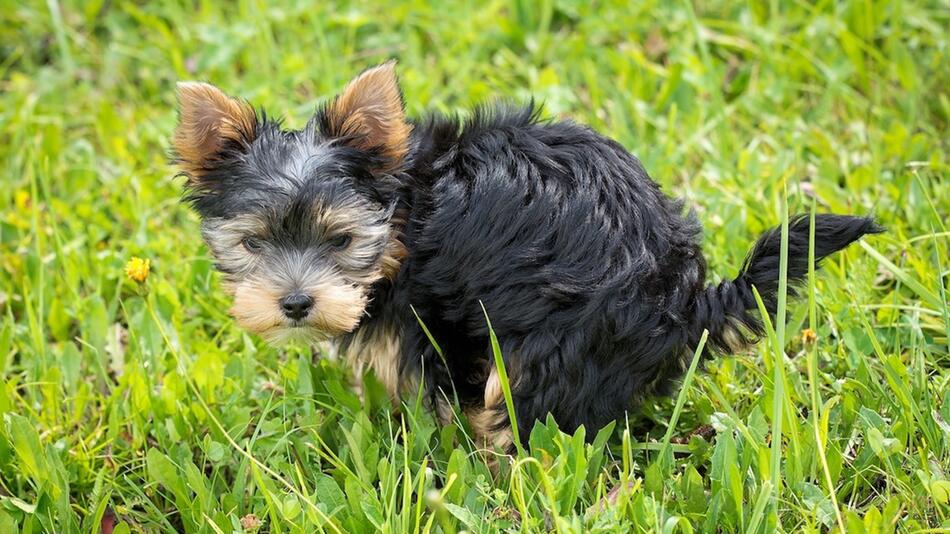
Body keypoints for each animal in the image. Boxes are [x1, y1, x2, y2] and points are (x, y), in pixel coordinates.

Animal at [173, 62, 884, 454]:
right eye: (254, 243)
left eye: (341, 241)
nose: (296, 304)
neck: (404, 214)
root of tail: (684, 299)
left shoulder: (434, 321)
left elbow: (439, 390)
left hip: (557, 341)